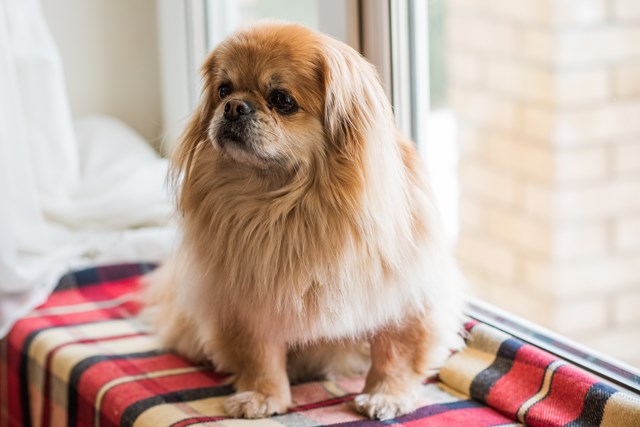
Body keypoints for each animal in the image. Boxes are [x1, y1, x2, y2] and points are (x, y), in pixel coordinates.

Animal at [144, 20, 464, 422]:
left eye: (282, 100)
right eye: (223, 90)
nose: (233, 106)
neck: (284, 205)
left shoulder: (404, 293)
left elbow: (396, 351)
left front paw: (385, 395)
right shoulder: (248, 301)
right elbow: (259, 354)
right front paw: (262, 396)